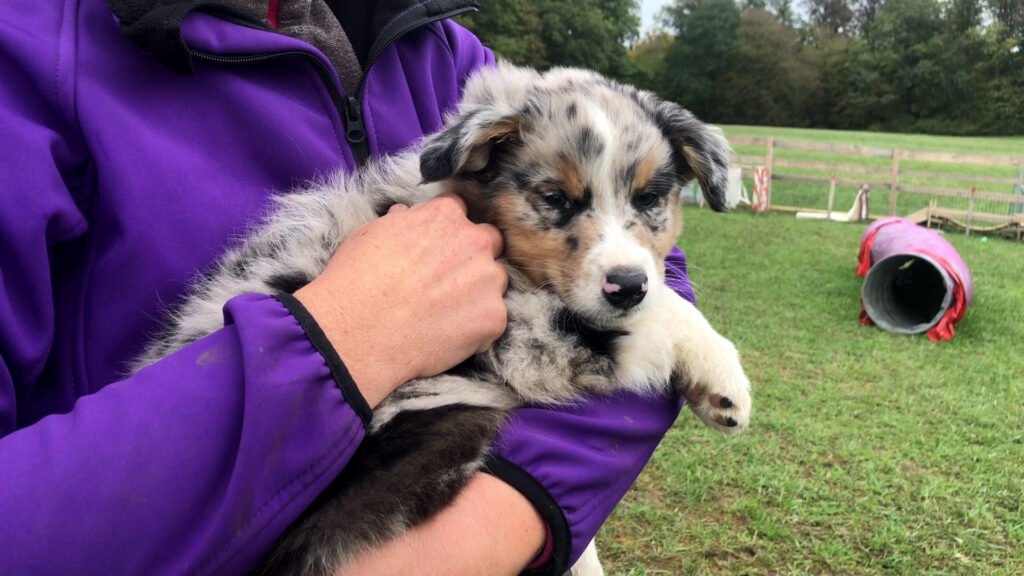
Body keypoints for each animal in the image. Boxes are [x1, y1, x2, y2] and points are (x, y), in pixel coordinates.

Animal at [136, 62, 753, 573]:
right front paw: (723, 379)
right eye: (555, 198)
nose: (626, 286)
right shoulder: (524, 333)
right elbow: (655, 314)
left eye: (650, 198)